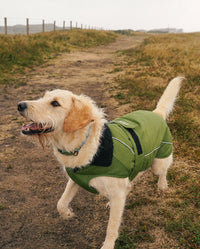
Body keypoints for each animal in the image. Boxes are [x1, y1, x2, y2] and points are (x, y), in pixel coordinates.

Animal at [18, 77, 184, 248]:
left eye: (55, 103)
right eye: (43, 97)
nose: (20, 105)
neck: (82, 144)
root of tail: (157, 112)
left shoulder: (116, 192)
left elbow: (112, 226)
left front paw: (108, 245)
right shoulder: (75, 179)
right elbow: (60, 203)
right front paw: (68, 213)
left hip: (158, 162)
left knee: (161, 171)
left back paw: (162, 185)